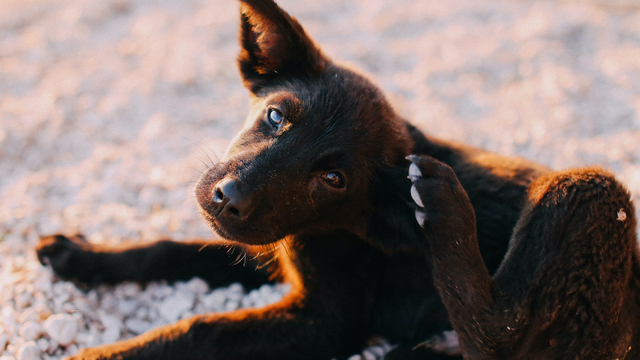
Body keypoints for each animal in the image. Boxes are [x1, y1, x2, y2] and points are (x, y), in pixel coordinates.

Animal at [37, 0, 640, 360]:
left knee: (500, 335)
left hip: (589, 193)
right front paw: (80, 254)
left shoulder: (327, 319)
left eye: (333, 178)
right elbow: (168, 249)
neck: (331, 229)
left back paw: (442, 206)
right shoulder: (270, 251)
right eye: (275, 116)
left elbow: (201, 329)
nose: (226, 199)